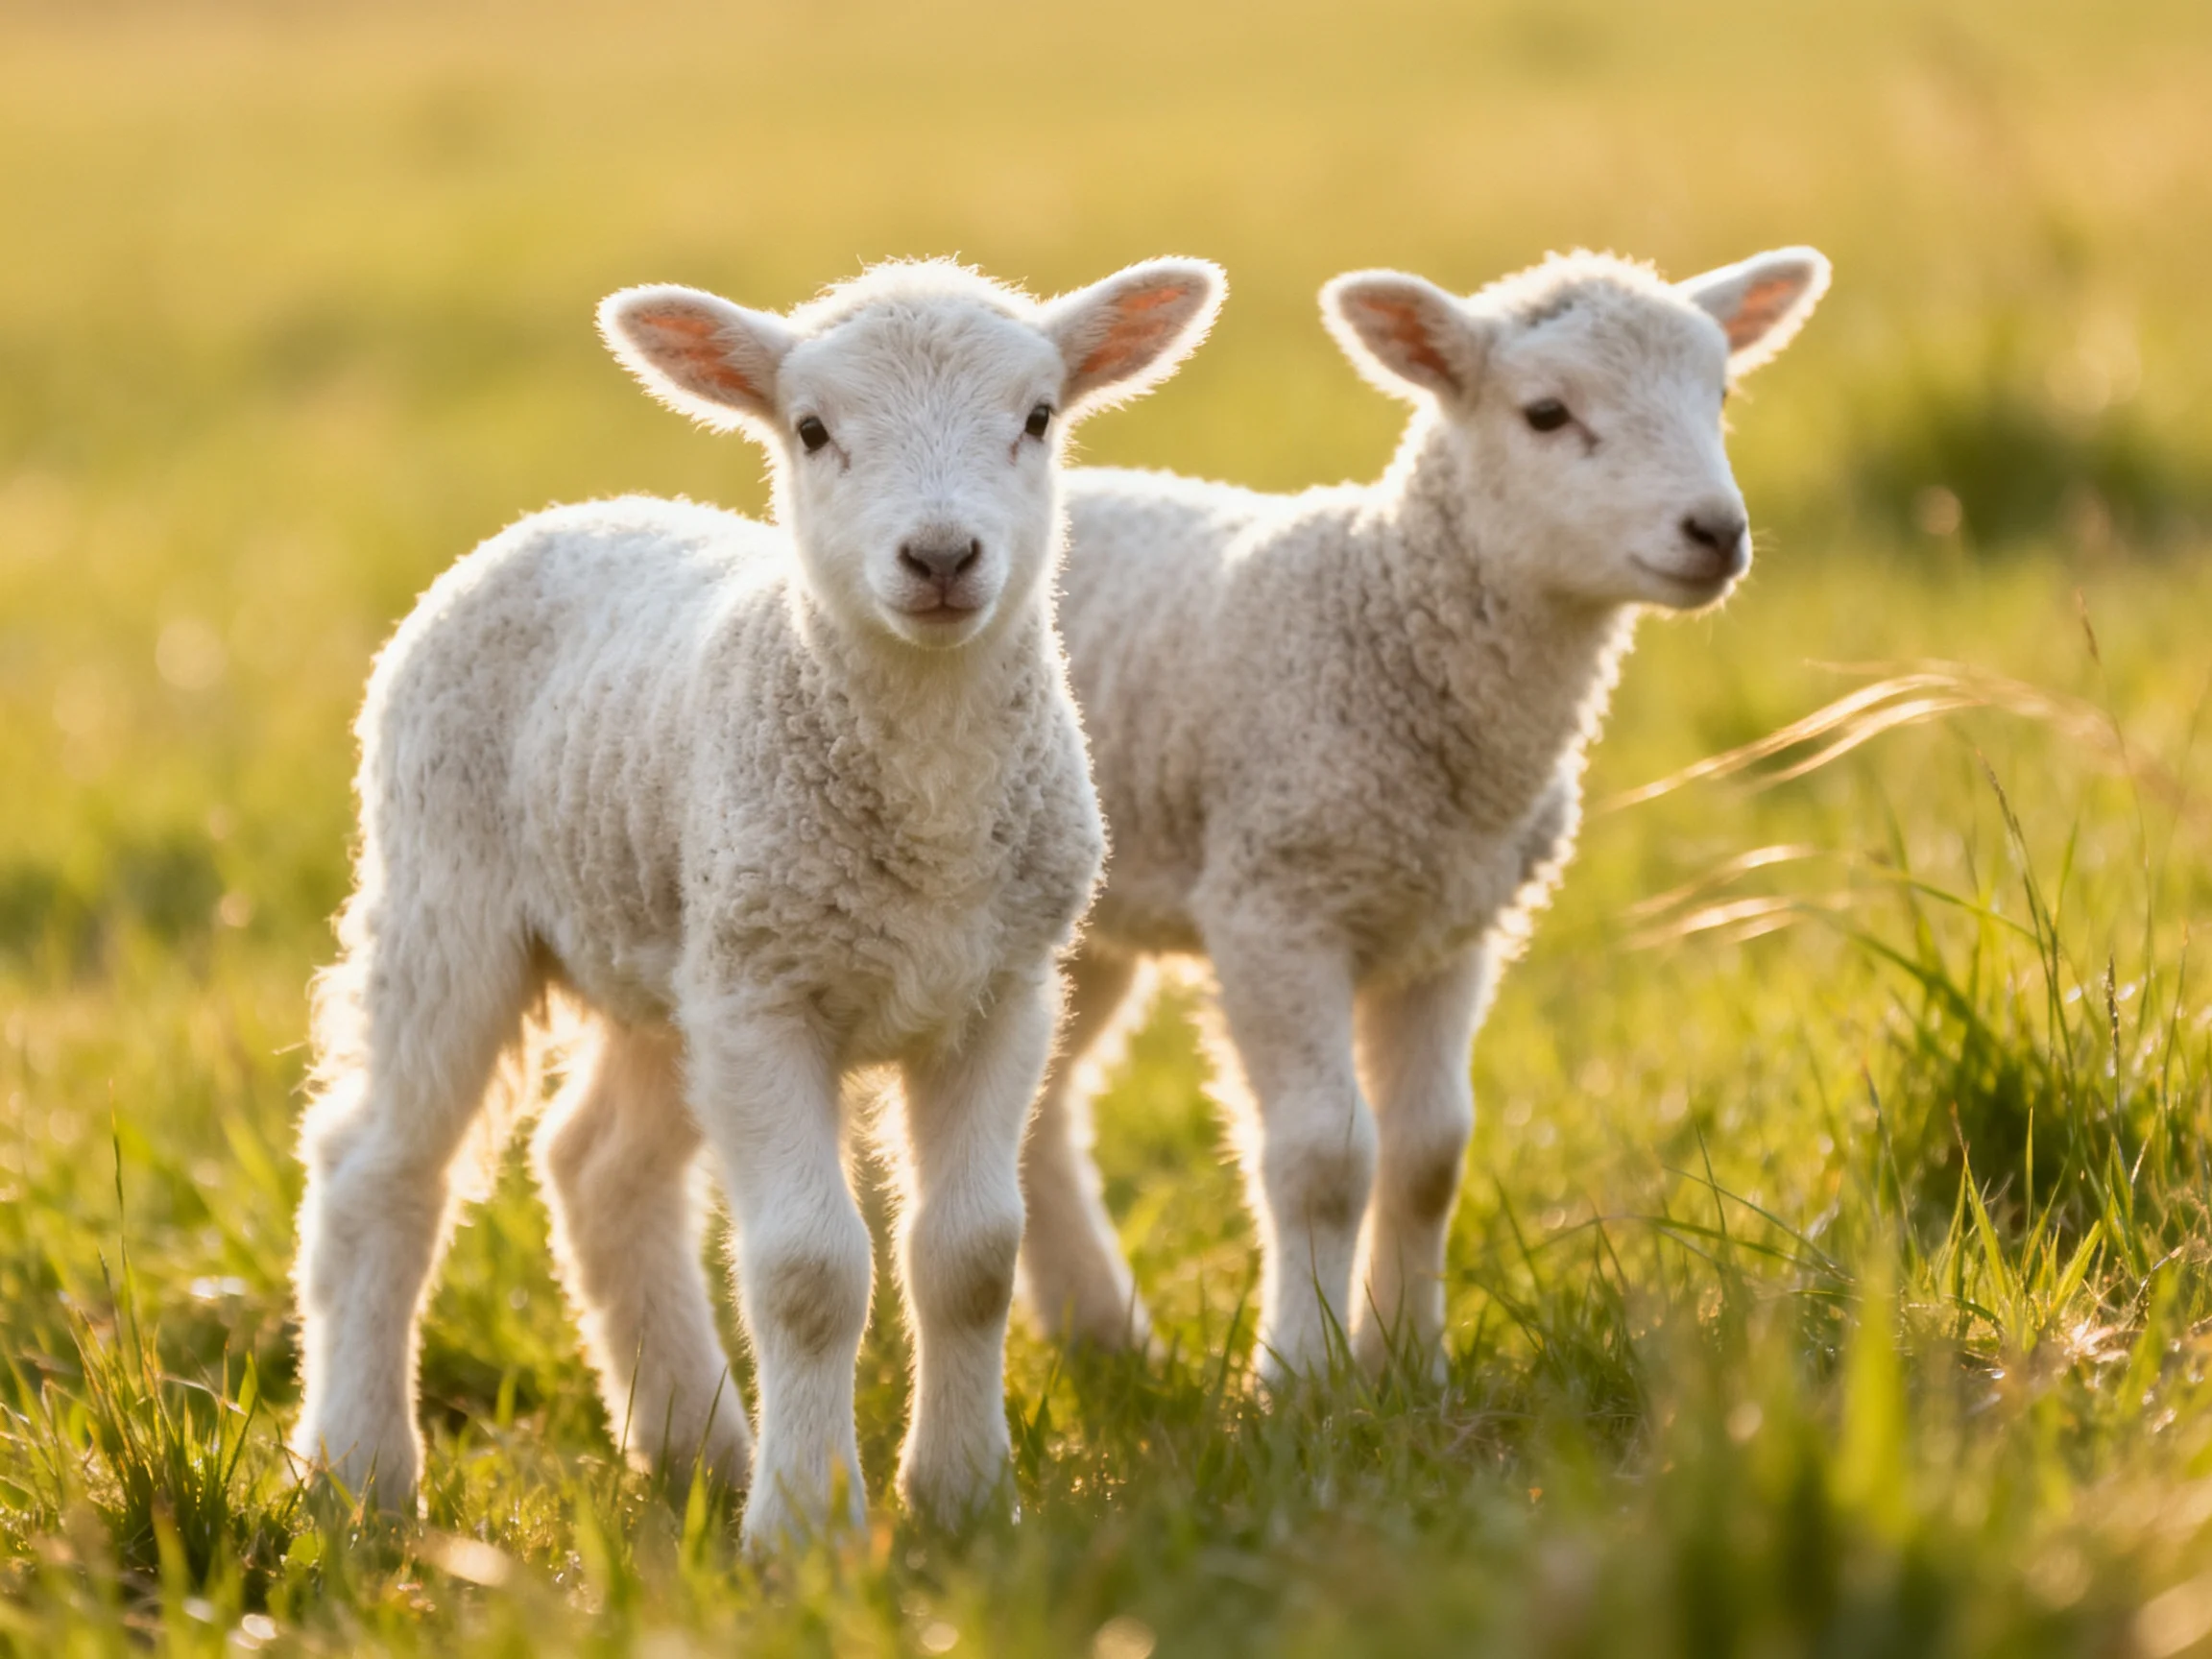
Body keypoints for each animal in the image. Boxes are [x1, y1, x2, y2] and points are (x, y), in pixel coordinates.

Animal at [287, 254, 1226, 1547]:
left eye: (1038, 418)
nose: (942, 558)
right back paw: (363, 1473)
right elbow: (809, 1272)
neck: (929, 806)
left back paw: (694, 1449)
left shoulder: (1000, 989)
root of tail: (568, 514)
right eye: (813, 429)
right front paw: (804, 1529)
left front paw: (963, 1500)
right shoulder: (768, 999)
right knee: (377, 1171)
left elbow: (973, 1254)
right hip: (448, 896)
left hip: (668, 955)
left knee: (600, 1171)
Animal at [1016, 246, 1831, 1386]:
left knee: (1044, 1113)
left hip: (1088, 928)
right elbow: (1324, 1155)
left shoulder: (1452, 926)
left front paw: (1404, 1360)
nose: (1716, 532)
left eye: (1719, 396)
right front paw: (1302, 1378)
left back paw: (1100, 1334)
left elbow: (1428, 1153)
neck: (1381, 614)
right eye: (1545, 413)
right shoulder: (1276, 903)